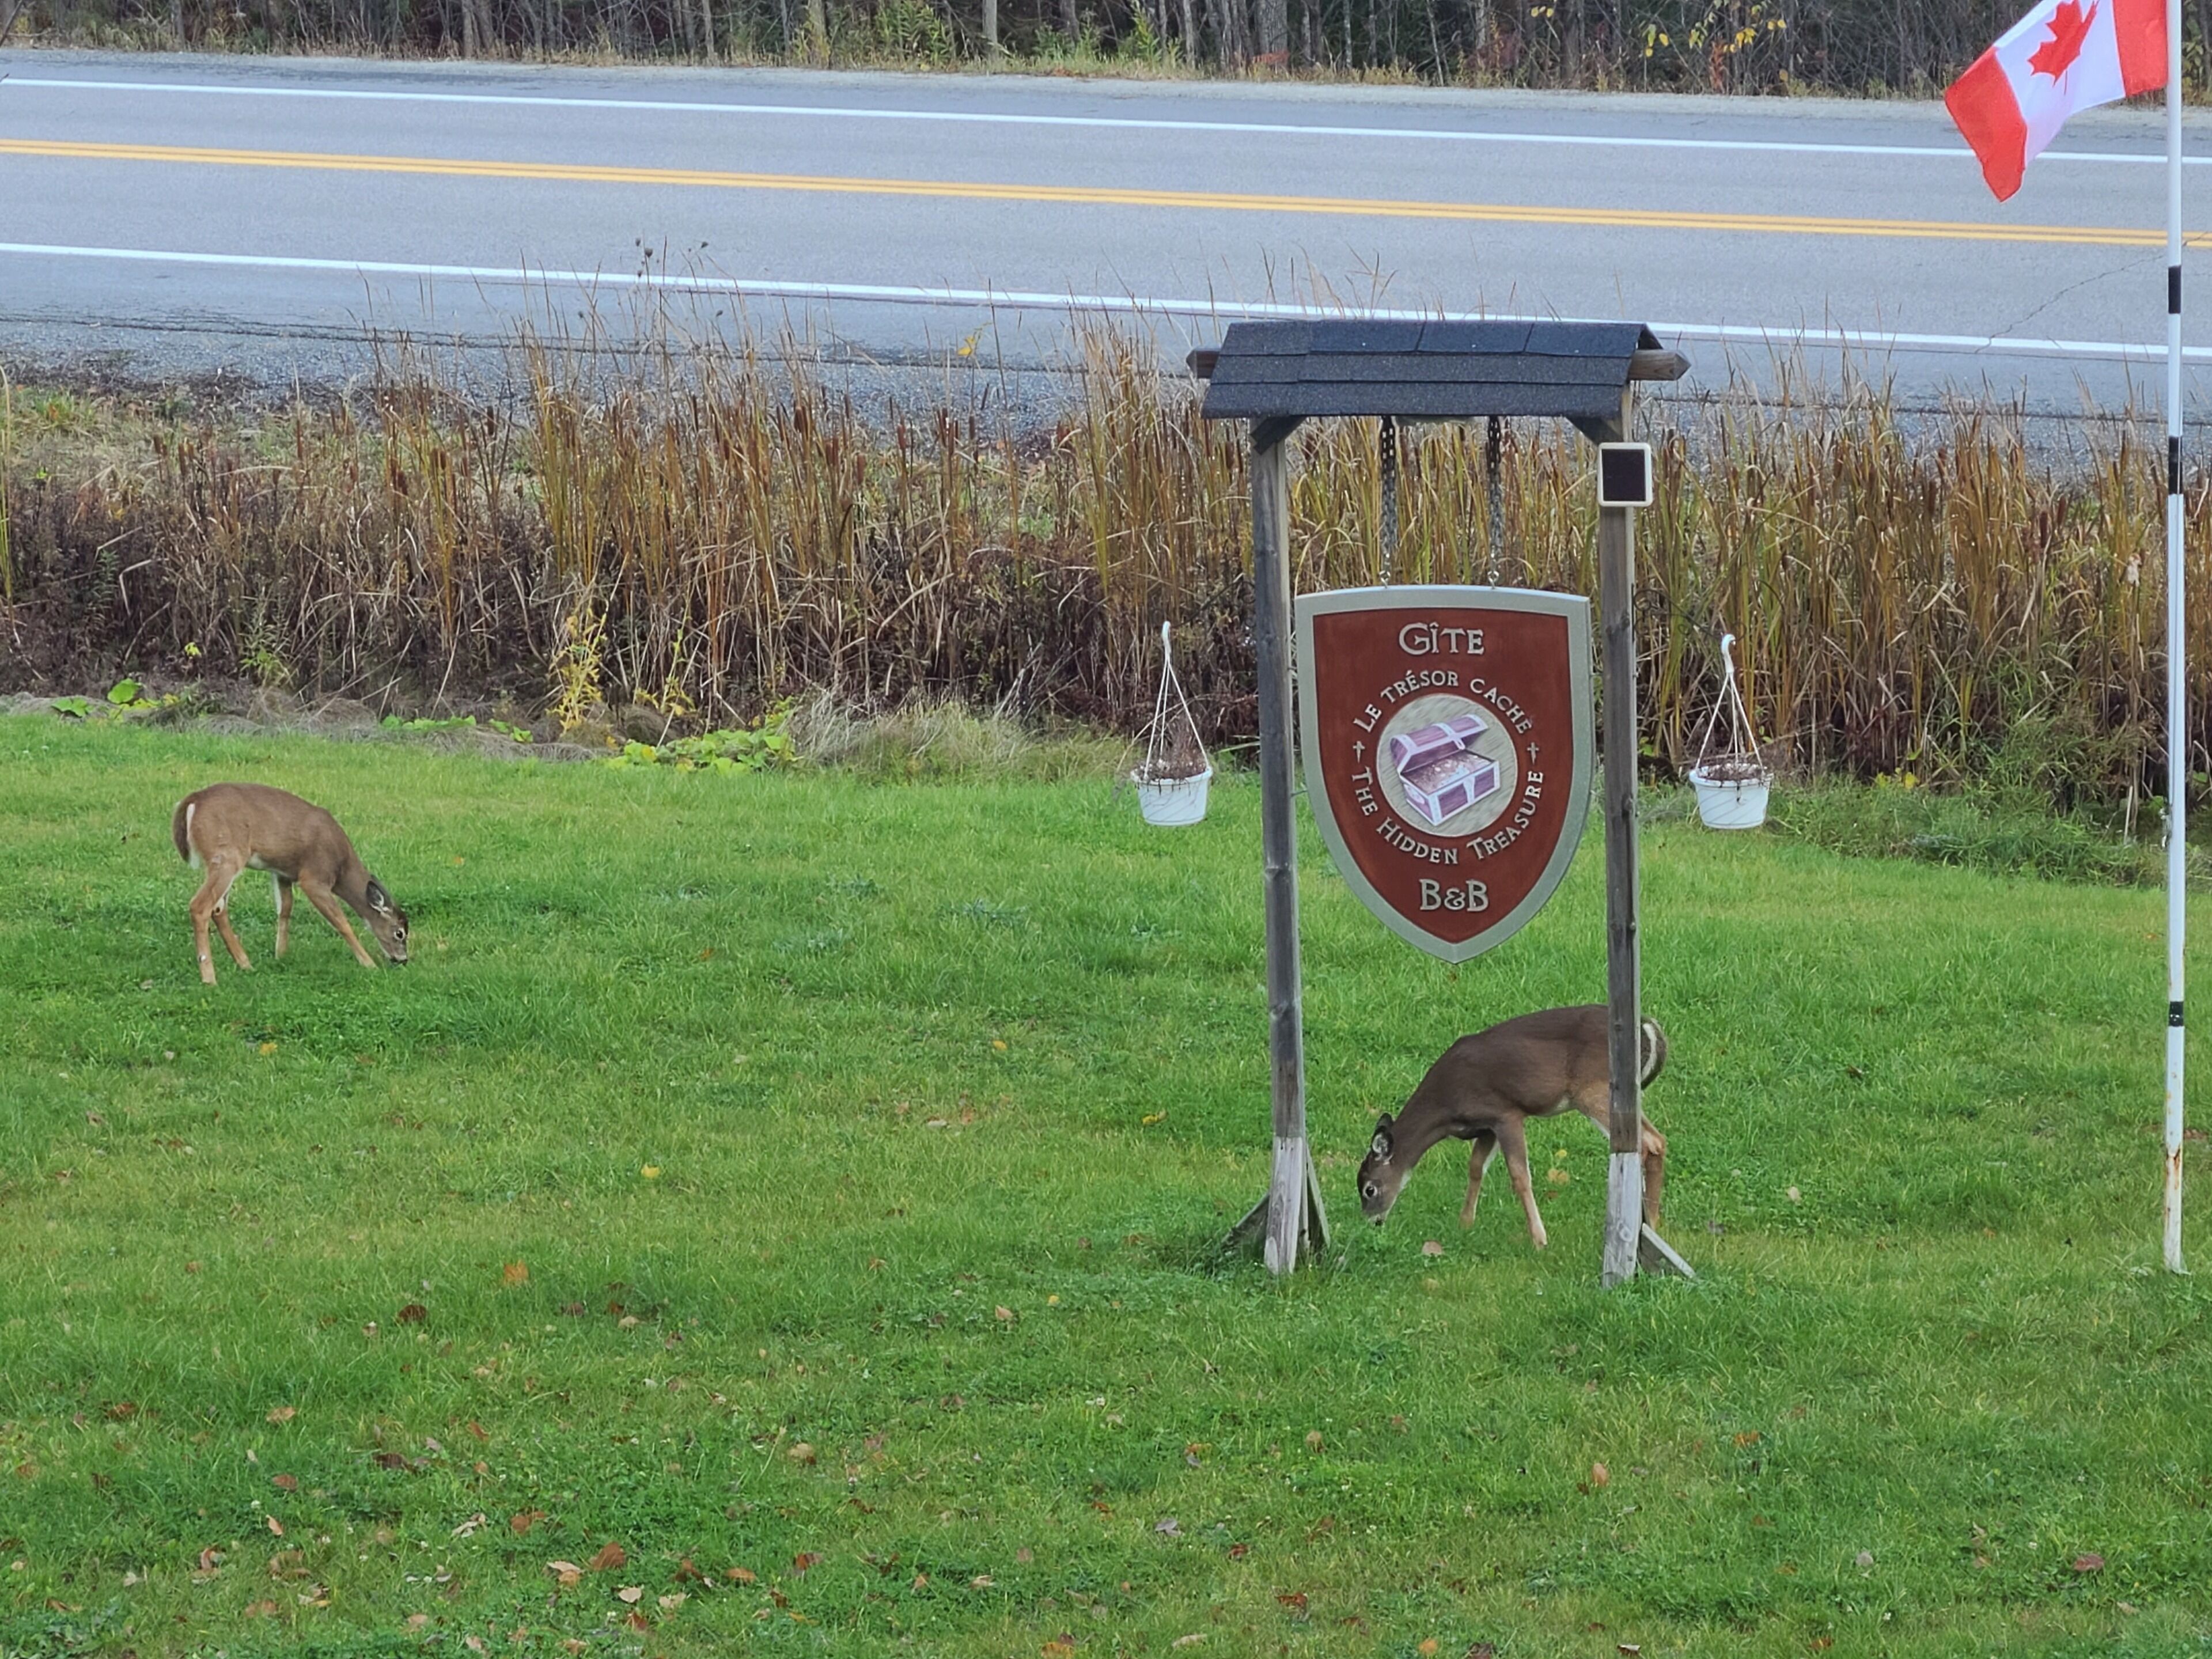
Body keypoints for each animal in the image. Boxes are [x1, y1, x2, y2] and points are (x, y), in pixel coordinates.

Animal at [171, 783, 409, 986]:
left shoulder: (282, 873)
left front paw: (281, 954)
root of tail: (193, 800)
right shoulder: (314, 877)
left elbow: (285, 909)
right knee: (200, 906)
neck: (342, 867)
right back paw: (209, 978)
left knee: (219, 908)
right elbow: (341, 922)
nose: (403, 960)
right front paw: (369, 964)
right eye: (400, 933)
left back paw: (245, 964)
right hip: (226, 855)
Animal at [1355, 1004, 1667, 1249]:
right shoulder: (1486, 1126)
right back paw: (1652, 1224)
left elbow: (1519, 1176)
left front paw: (1540, 1240)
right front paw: (1465, 1224)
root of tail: (1647, 1026)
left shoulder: (1506, 1112)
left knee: (1648, 1143)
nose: (1373, 1222)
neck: (1445, 1107)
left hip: (1592, 1091)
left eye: (1369, 1189)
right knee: (1658, 1140)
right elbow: (1476, 1168)